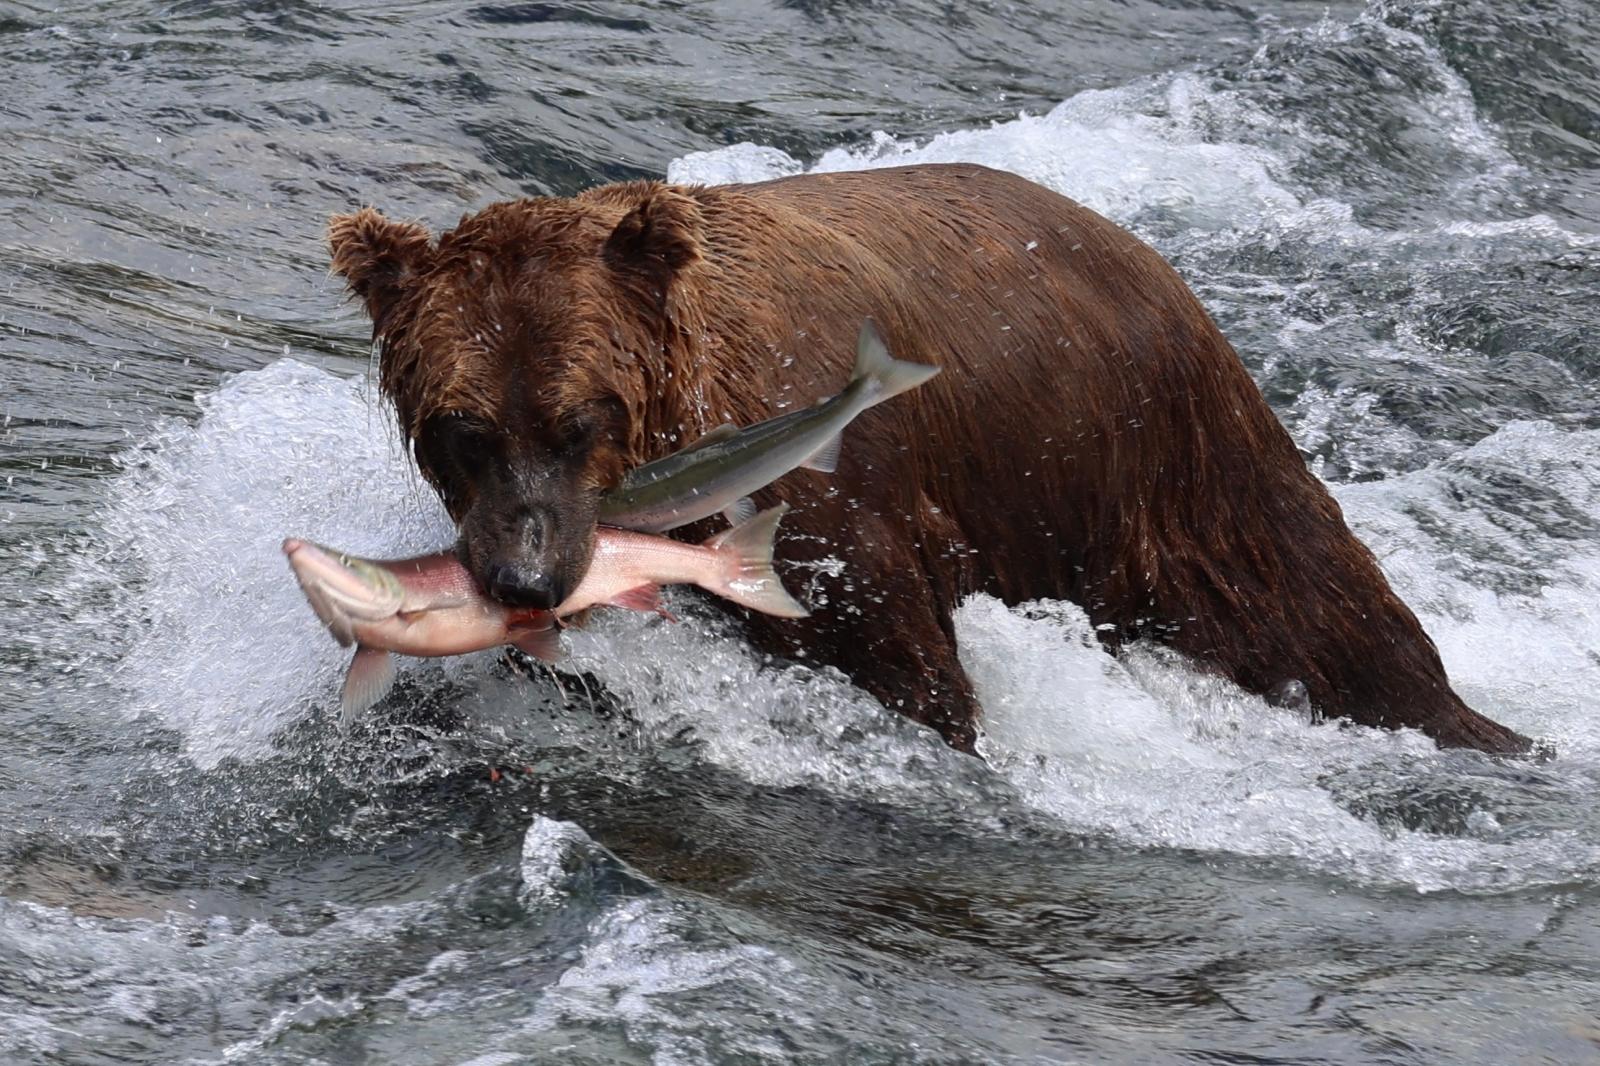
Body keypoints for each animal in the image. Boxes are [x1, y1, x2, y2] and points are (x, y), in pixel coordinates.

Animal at [327, 162, 1529, 756]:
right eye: (464, 428)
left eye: (583, 417)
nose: (524, 579)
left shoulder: (839, 512)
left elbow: (905, 664)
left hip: (1166, 460)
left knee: (1317, 610)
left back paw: (1486, 730)